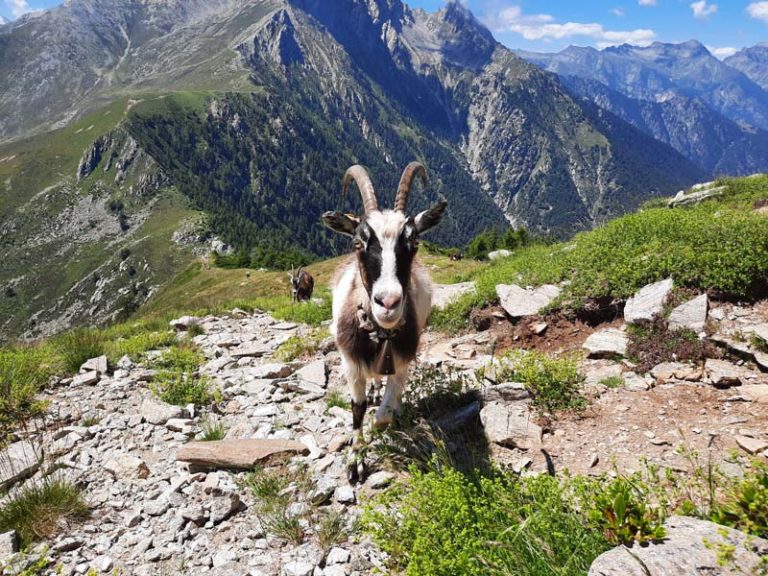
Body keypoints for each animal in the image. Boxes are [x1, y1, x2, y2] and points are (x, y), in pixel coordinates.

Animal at [320, 162, 448, 464]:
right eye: (358, 243)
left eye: (414, 243)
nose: (388, 302)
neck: (381, 335)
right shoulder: (350, 363)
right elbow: (357, 407)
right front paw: (354, 462)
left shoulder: (401, 362)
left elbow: (383, 416)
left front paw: (378, 427)